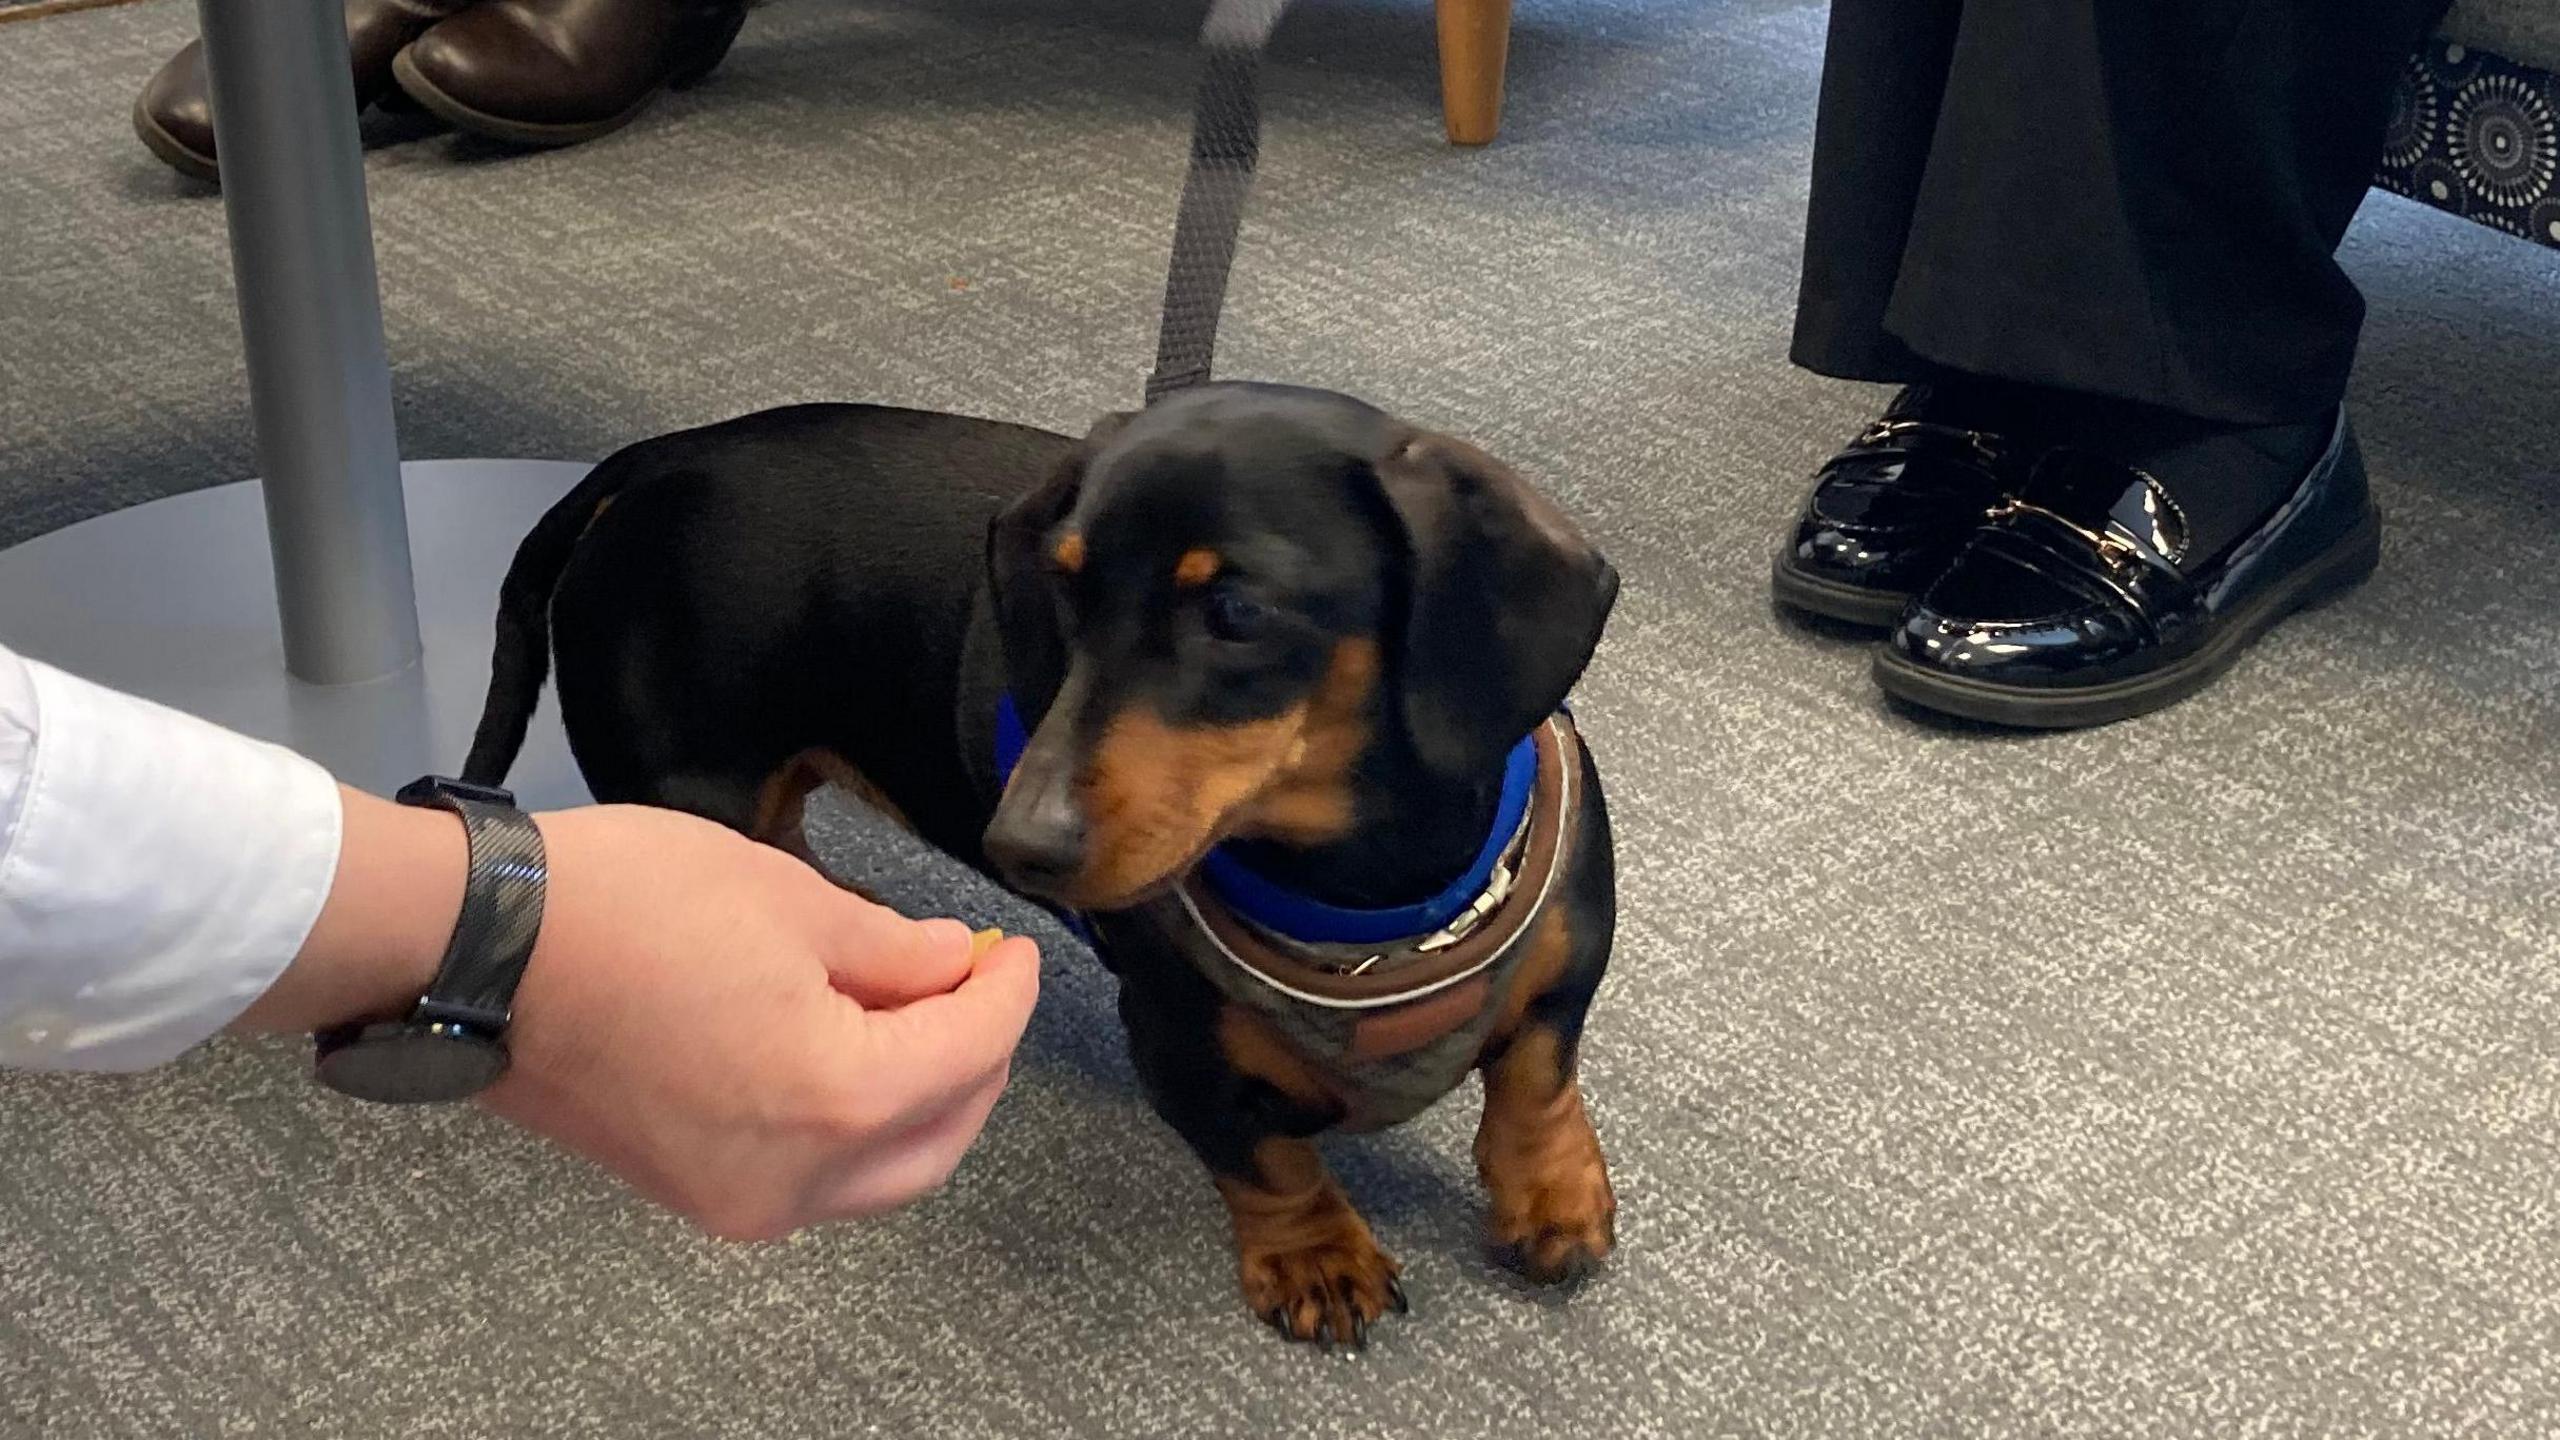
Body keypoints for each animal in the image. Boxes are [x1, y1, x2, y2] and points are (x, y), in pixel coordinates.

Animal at [460, 384, 1617, 1342]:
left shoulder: (1565, 971)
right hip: (693, 787)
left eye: (1236, 611)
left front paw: (1552, 1197)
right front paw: (1317, 1258)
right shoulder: (1175, 1050)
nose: (1019, 844)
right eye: (1065, 596)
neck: (1374, 905)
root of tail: (656, 461)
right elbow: (1269, 1162)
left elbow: (1535, 1079)